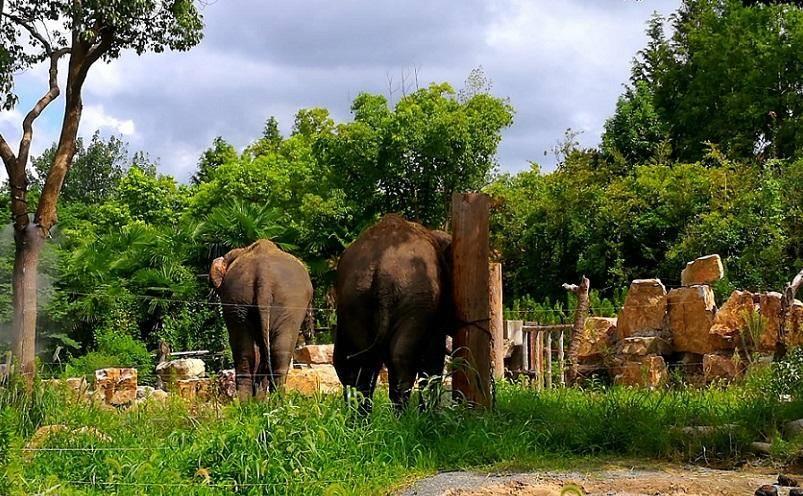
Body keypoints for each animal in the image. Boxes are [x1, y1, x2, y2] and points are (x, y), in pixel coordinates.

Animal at [210, 239, 314, 400]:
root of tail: (264, 276)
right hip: (286, 304)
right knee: (279, 351)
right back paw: (276, 401)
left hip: (238, 299)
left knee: (246, 351)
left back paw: (247, 403)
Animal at [332, 213, 456, 410]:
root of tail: (382, 268)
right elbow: (433, 358)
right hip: (415, 298)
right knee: (401, 358)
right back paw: (404, 416)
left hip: (354, 297)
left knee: (364, 362)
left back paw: (363, 417)